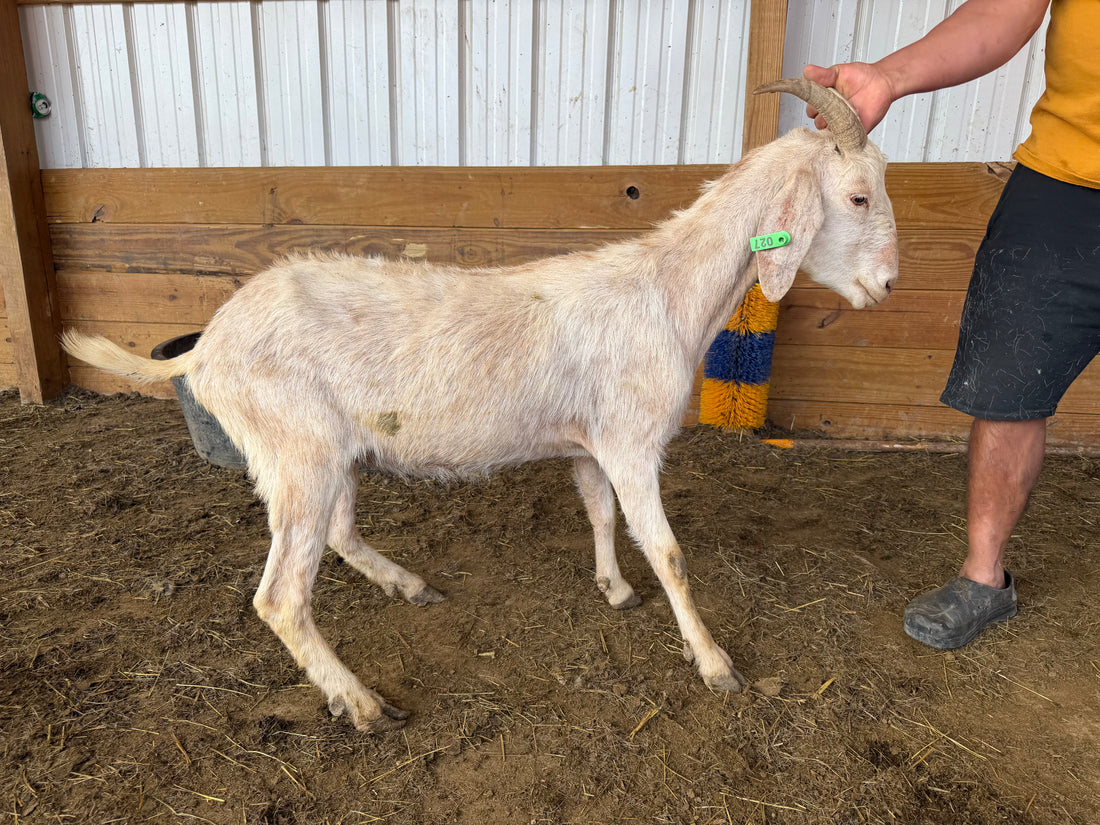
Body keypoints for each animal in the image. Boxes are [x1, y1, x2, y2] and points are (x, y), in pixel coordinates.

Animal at [62, 79, 898, 732]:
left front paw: (614, 588)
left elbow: (598, 513)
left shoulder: (589, 441)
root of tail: (207, 347)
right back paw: (362, 702)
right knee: (281, 596)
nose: (888, 286)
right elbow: (671, 553)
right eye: (858, 196)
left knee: (337, 531)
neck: (663, 293)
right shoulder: (632, 440)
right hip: (297, 448)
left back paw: (408, 586)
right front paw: (715, 662)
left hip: (328, 452)